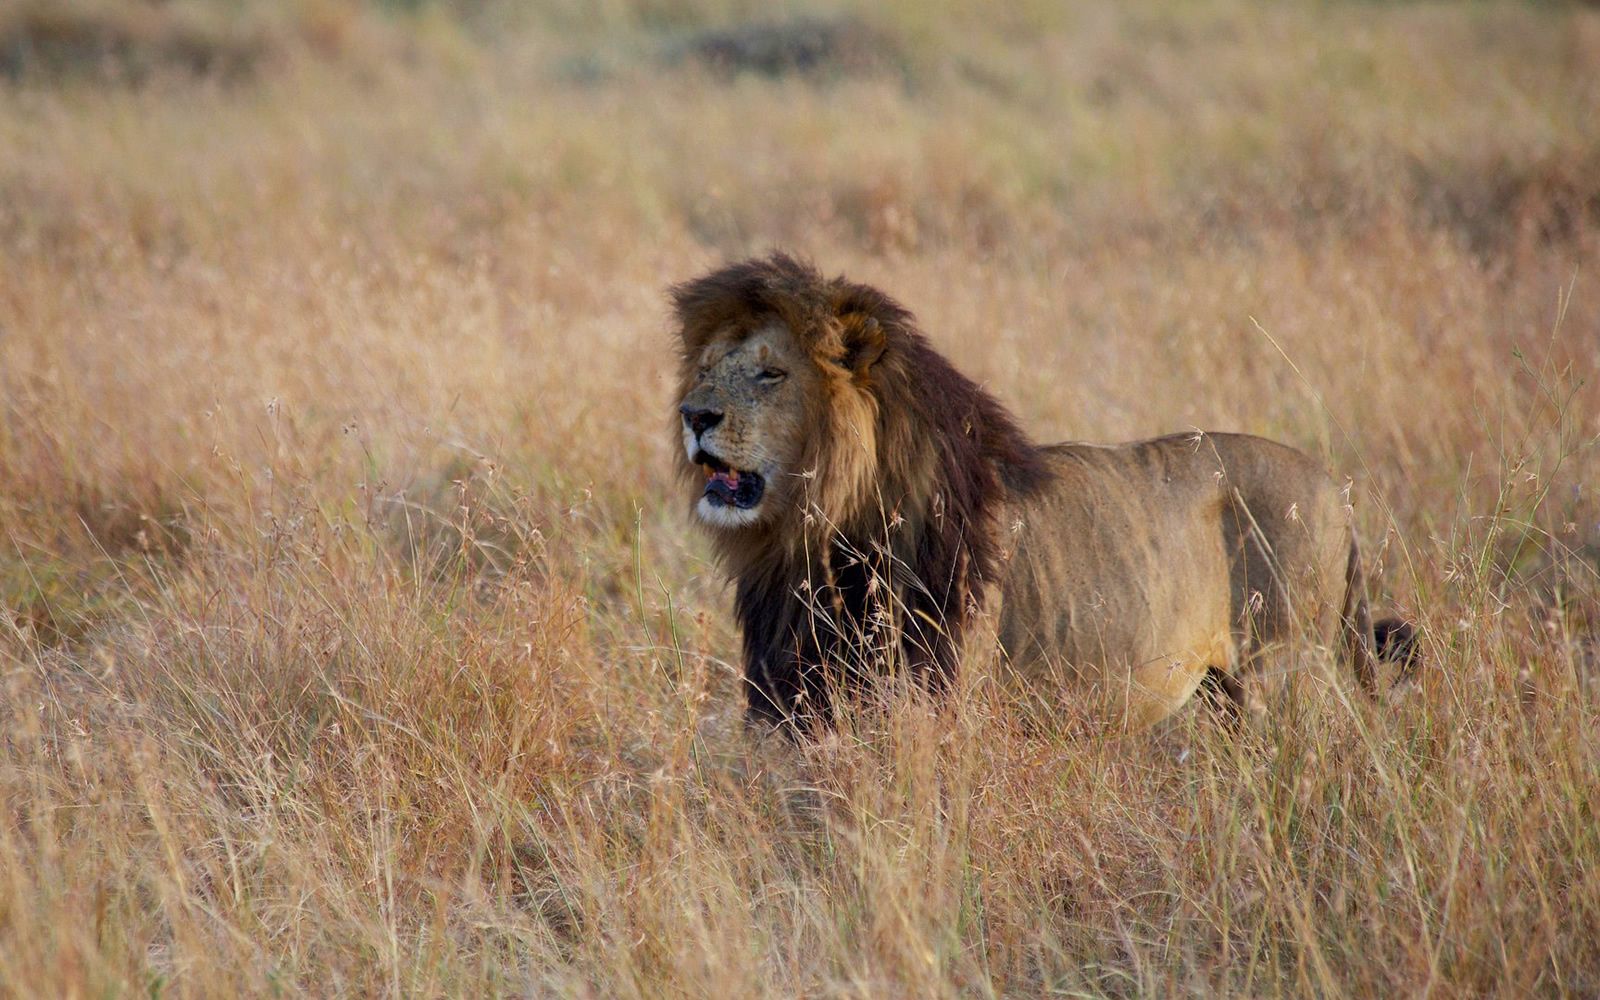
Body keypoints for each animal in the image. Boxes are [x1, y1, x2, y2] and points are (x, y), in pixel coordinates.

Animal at [672, 252, 1414, 729]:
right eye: (706, 368)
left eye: (770, 373)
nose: (693, 414)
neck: (815, 536)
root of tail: (1335, 488)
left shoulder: (945, 695)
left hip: (1286, 673)